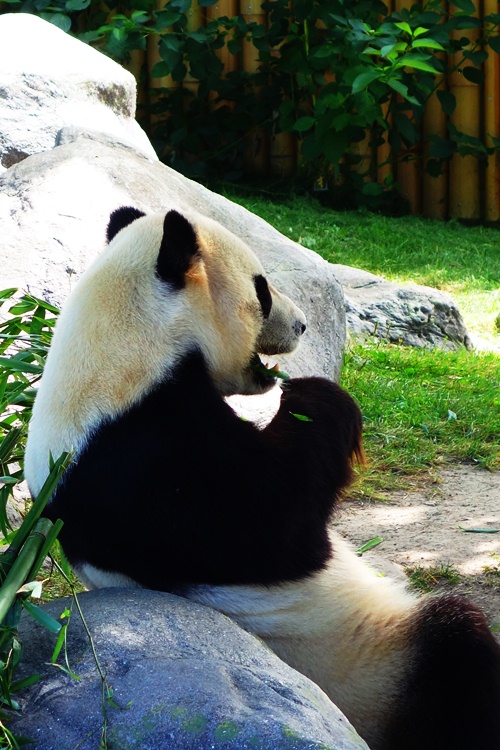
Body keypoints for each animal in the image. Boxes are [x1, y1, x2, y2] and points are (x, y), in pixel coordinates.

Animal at [24, 207, 500, 750]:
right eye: (262, 289)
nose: (303, 324)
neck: (120, 347)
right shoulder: (140, 463)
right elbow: (280, 527)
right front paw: (314, 397)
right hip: (368, 664)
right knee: (456, 647)